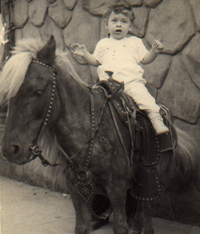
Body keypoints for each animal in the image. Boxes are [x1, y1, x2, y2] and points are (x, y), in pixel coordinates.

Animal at [0, 35, 198, 234]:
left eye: (38, 91)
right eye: (9, 93)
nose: (11, 149)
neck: (91, 133)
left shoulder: (117, 187)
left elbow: (120, 226)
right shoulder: (76, 189)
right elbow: (82, 226)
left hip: (152, 178)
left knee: (146, 212)